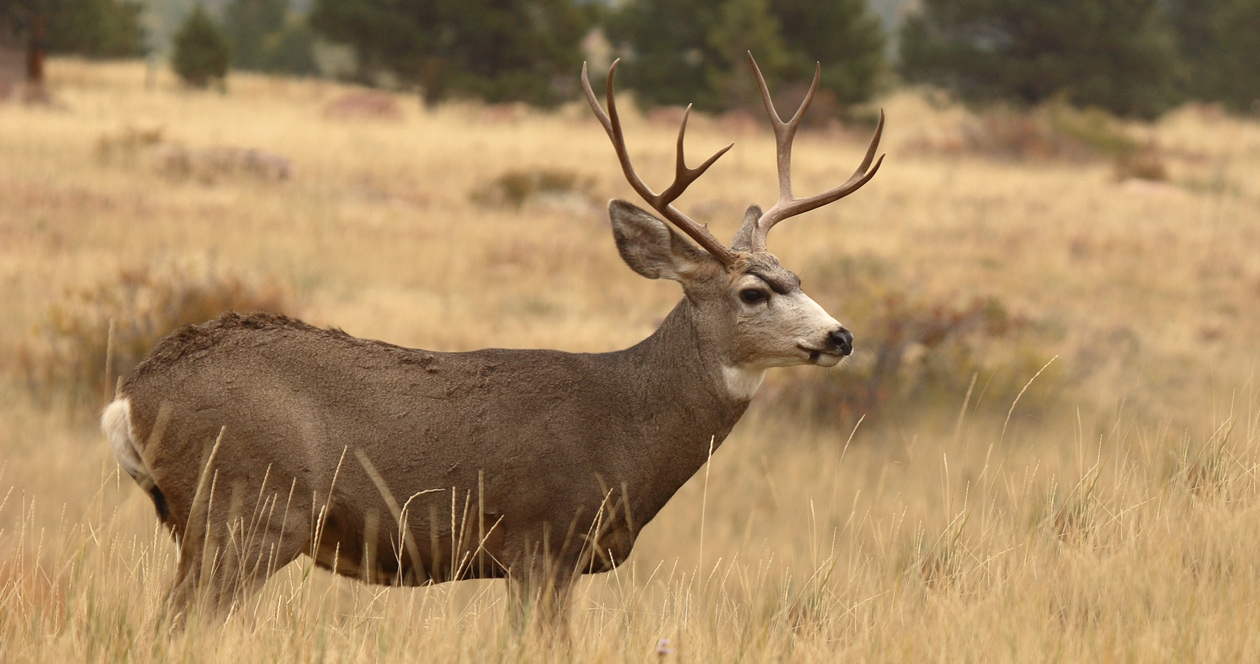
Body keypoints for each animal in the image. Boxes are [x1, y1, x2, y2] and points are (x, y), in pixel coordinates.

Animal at [100, 54, 887, 632]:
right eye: (753, 293)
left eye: (799, 276)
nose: (840, 335)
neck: (627, 423)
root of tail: (132, 395)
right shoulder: (543, 542)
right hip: (246, 511)